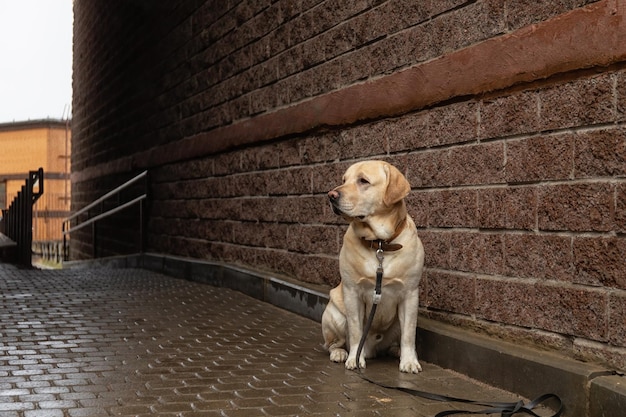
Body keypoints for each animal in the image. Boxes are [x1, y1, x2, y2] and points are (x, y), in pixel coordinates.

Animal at [322, 160, 424, 374]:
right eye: (344, 179)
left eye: (363, 181)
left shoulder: (410, 294)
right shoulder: (352, 293)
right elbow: (355, 331)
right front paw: (354, 358)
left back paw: (396, 351)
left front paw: (409, 361)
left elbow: (409, 334)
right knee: (332, 344)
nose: (331, 195)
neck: (380, 244)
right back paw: (340, 353)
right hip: (333, 313)